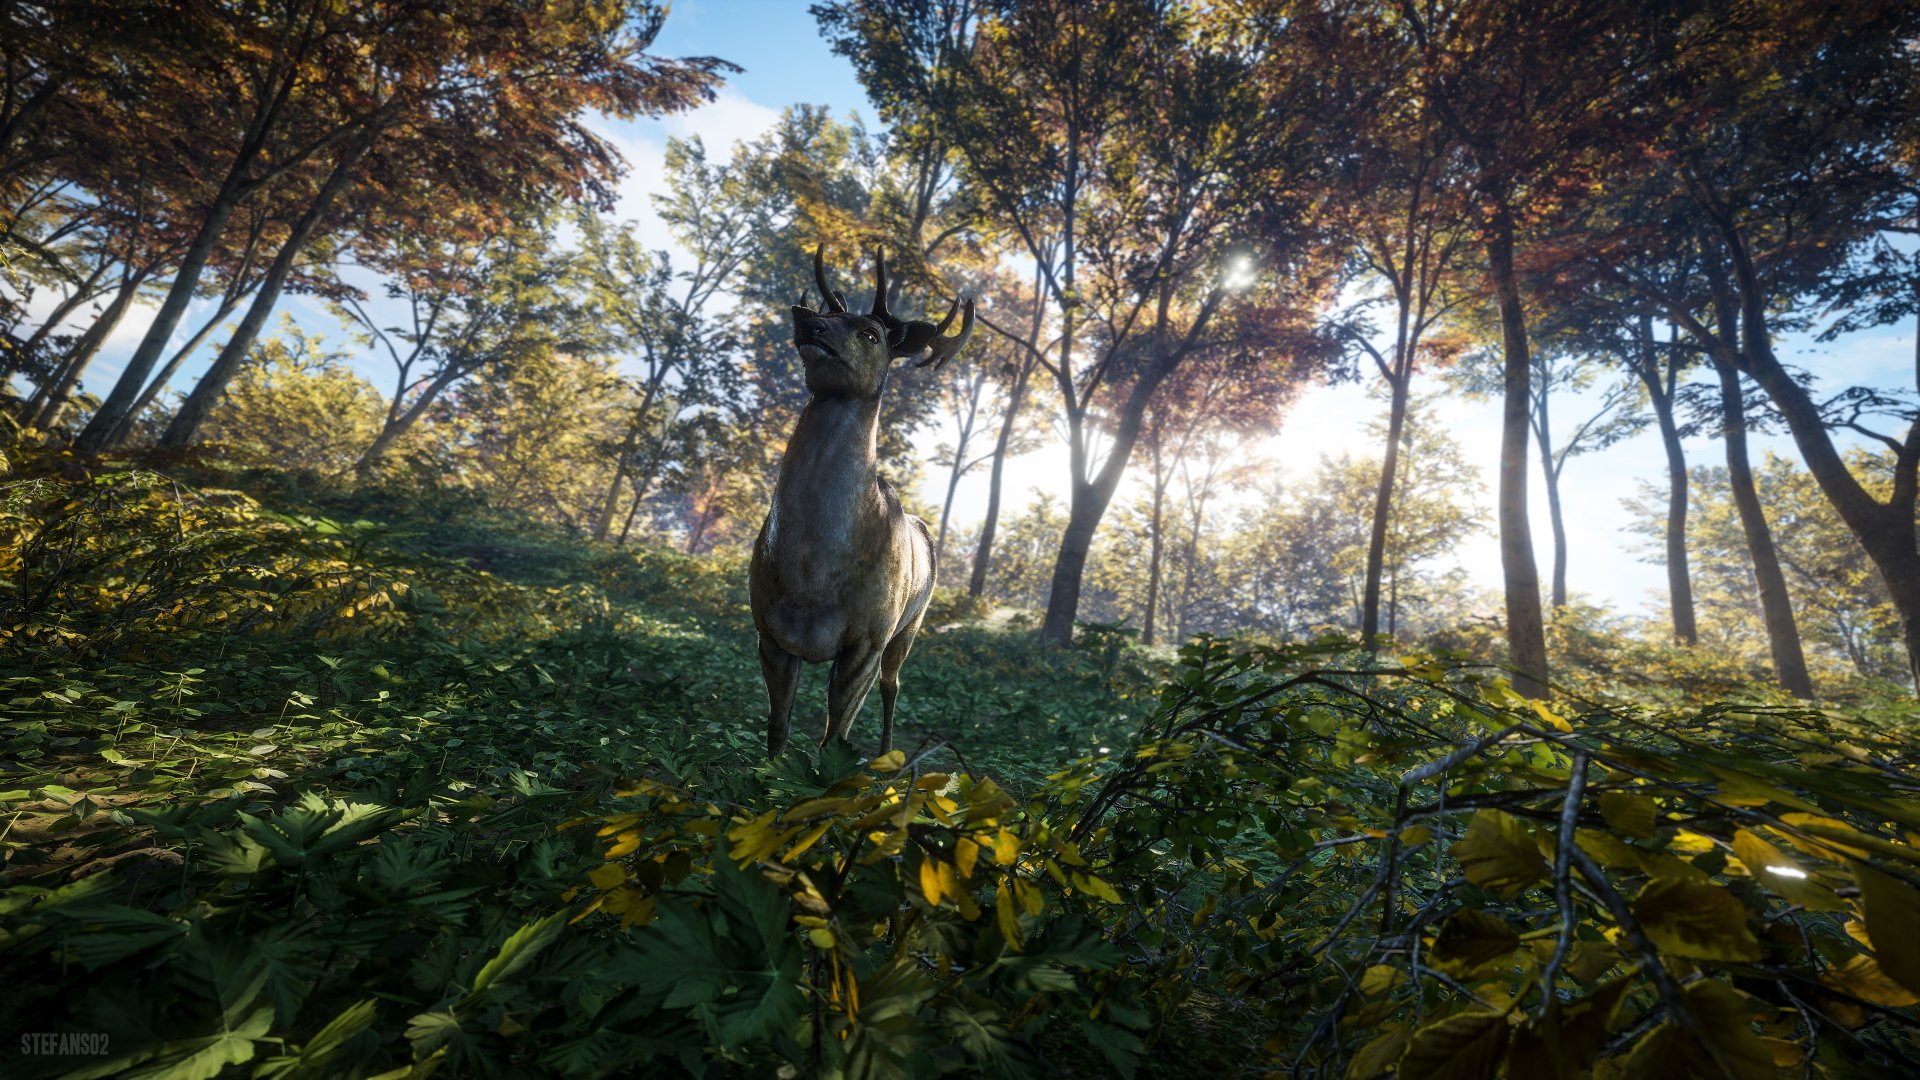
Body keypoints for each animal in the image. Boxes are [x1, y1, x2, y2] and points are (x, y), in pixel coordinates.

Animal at [749, 245, 974, 757]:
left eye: (870, 334)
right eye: (830, 313)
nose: (807, 320)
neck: (811, 579)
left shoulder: (868, 639)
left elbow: (835, 738)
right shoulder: (769, 630)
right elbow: (778, 728)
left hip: (911, 624)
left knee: (893, 686)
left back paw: (887, 754)